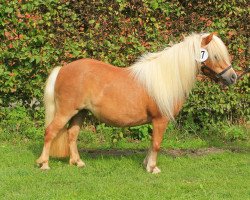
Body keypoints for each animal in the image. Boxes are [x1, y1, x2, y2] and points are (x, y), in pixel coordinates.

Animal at [36, 32, 236, 173]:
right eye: (215, 56)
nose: (233, 77)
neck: (166, 77)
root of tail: (63, 69)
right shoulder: (160, 120)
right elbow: (157, 143)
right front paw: (153, 168)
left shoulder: (155, 122)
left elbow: (152, 142)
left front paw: (147, 164)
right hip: (65, 111)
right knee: (50, 132)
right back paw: (44, 164)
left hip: (80, 112)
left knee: (72, 135)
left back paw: (77, 162)